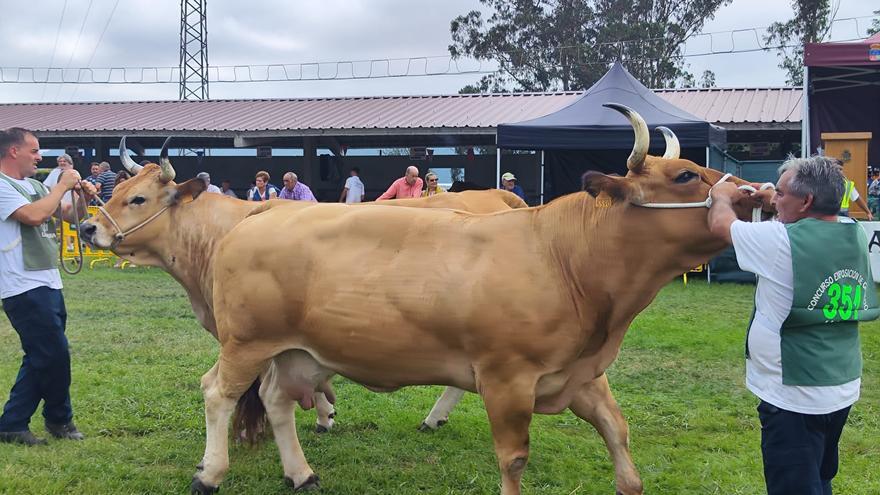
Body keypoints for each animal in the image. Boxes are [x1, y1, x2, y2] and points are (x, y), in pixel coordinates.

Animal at [163, 102, 768, 494]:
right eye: (685, 175)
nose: (754, 192)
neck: (564, 257)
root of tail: (260, 213)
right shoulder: (507, 376)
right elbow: (514, 458)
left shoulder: (581, 371)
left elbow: (617, 432)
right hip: (247, 341)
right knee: (217, 393)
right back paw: (208, 475)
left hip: (294, 351)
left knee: (277, 401)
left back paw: (302, 473)